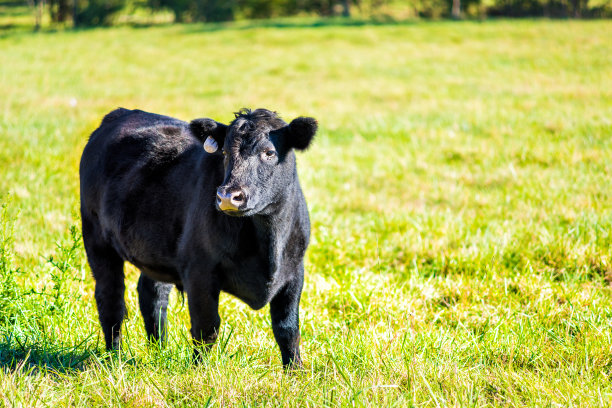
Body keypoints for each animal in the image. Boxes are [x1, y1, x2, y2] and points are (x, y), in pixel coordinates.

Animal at [79, 107, 318, 366]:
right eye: (224, 152)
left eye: (269, 152)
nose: (227, 196)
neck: (269, 244)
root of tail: (122, 113)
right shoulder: (199, 271)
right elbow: (207, 327)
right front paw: (199, 369)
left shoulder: (294, 272)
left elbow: (287, 329)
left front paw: (296, 371)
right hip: (96, 236)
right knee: (110, 298)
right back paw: (114, 357)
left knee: (152, 294)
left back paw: (159, 351)